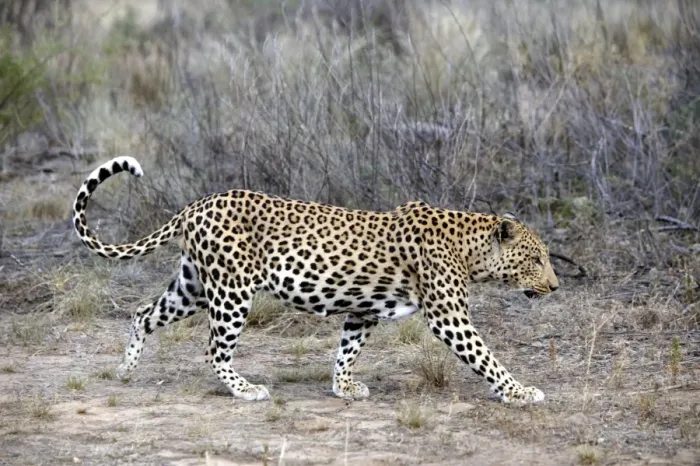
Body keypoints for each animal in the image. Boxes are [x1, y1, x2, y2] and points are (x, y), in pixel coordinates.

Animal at [72, 156, 559, 404]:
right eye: (537, 259)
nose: (555, 286)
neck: (470, 247)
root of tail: (197, 203)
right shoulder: (449, 317)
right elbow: (487, 357)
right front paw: (520, 391)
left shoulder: (363, 311)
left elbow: (347, 351)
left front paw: (343, 387)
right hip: (231, 291)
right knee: (213, 349)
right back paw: (246, 390)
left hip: (193, 285)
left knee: (142, 313)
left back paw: (125, 371)